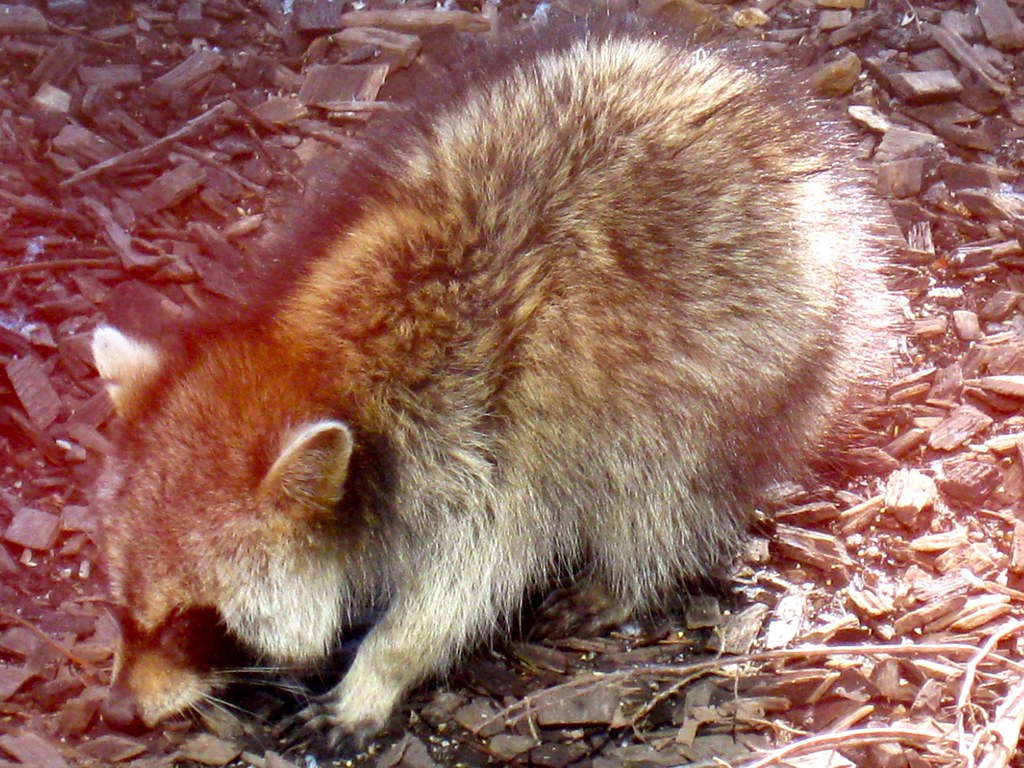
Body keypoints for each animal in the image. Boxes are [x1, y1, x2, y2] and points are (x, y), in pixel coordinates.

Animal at [92, 18, 894, 748]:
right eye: (121, 606)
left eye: (194, 620)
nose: (119, 713)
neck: (321, 369)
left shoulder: (478, 449)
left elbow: (468, 583)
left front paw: (382, 667)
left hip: (757, 358)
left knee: (666, 483)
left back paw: (632, 574)